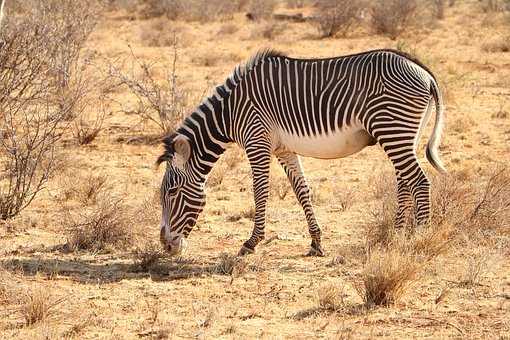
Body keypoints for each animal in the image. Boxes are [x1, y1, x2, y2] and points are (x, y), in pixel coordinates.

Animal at [156, 49, 446, 258]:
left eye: (171, 192)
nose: (166, 246)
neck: (230, 112)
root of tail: (425, 72)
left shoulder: (257, 142)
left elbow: (259, 192)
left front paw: (251, 243)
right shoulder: (284, 149)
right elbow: (301, 189)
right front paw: (316, 241)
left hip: (392, 129)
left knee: (419, 182)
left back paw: (419, 239)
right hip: (401, 134)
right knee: (405, 182)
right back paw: (395, 237)